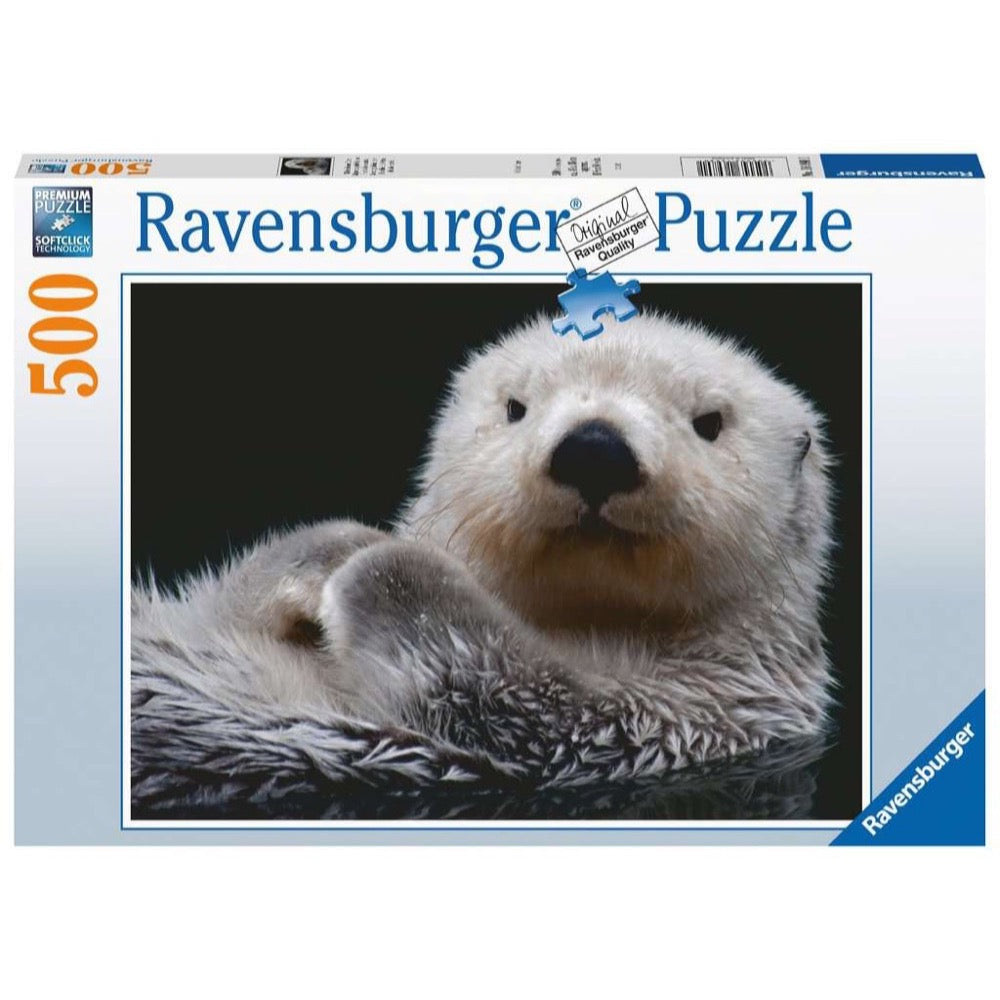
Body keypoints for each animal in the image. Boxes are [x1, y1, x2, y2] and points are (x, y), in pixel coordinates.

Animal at [132, 312, 835, 782]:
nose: (595, 449)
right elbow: (223, 599)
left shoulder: (680, 714)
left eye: (710, 423)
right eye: (516, 407)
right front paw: (331, 550)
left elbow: (505, 686)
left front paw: (380, 563)